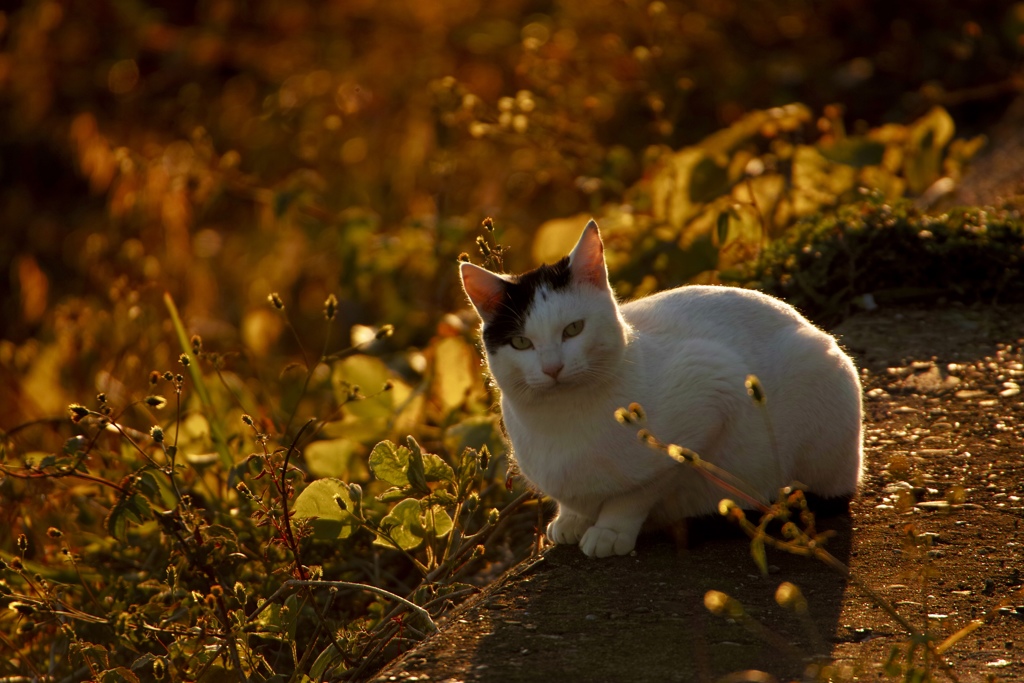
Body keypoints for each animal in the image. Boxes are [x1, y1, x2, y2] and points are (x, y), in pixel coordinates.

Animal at [460, 222, 860, 557]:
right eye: (521, 343)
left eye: (573, 329)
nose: (552, 368)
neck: (560, 420)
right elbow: (576, 501)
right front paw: (571, 519)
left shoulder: (712, 389)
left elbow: (639, 491)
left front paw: (610, 529)